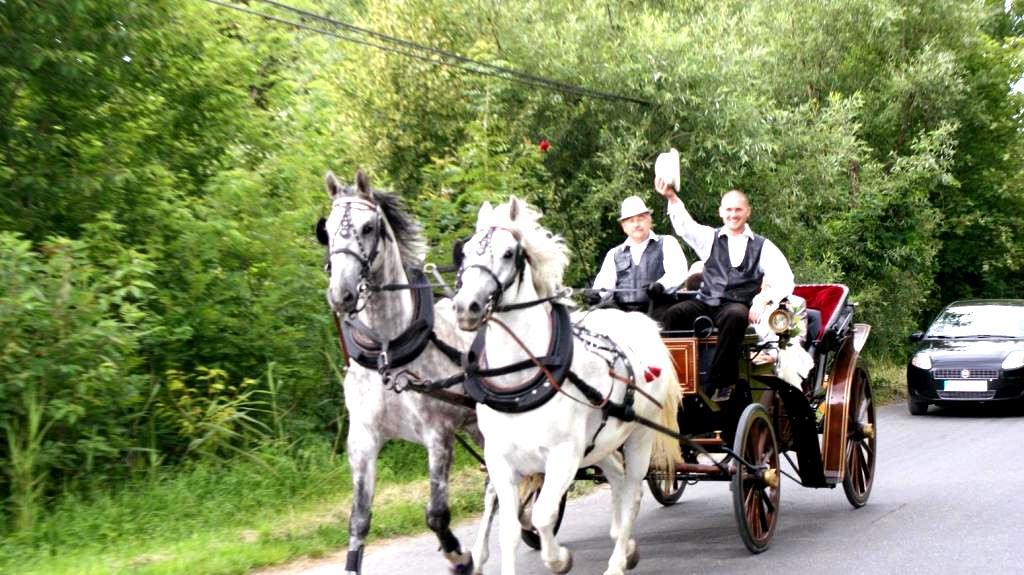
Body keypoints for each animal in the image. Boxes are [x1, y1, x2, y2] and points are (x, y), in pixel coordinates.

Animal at [319, 169, 495, 572]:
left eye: (368, 227)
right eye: (327, 230)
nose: (342, 294)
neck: (387, 351)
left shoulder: (439, 434)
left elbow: (436, 514)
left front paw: (458, 556)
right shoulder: (363, 439)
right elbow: (359, 521)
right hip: (477, 425)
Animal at [454, 194, 679, 568]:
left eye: (508, 253)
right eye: (467, 251)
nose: (465, 307)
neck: (522, 381)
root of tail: (640, 321)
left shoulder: (563, 456)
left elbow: (542, 515)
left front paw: (559, 559)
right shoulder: (500, 459)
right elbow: (509, 529)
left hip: (639, 436)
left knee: (632, 491)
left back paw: (617, 562)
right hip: (600, 443)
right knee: (618, 480)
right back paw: (625, 544)